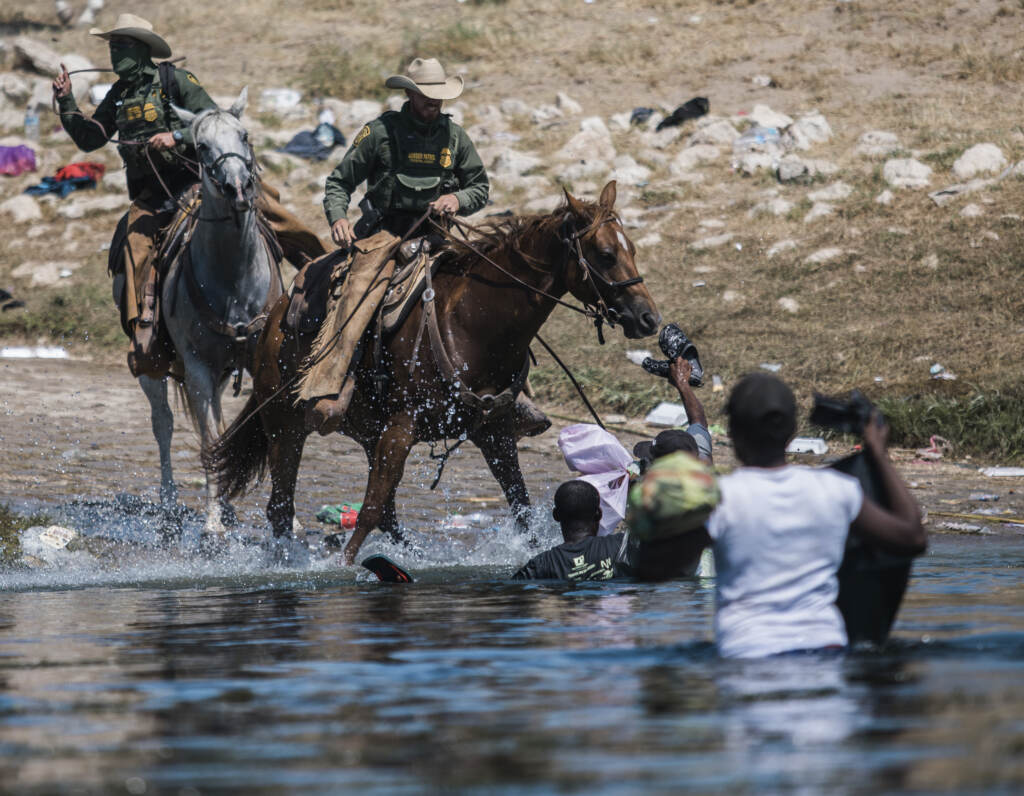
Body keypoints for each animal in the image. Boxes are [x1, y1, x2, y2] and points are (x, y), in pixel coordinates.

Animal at [137, 87, 283, 534]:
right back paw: (171, 503)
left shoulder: (261, 360)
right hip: (153, 366)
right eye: (201, 146)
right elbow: (208, 439)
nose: (237, 188)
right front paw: (213, 523)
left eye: (245, 134)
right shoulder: (197, 368)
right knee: (164, 424)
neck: (233, 278)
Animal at [205, 180, 660, 564]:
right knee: (282, 506)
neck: (473, 324)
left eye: (633, 250)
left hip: (366, 431)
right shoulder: (402, 428)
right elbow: (369, 510)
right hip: (284, 425)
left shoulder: (493, 432)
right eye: (605, 255)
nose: (648, 318)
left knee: (384, 512)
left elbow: (521, 506)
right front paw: (344, 566)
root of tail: (274, 318)